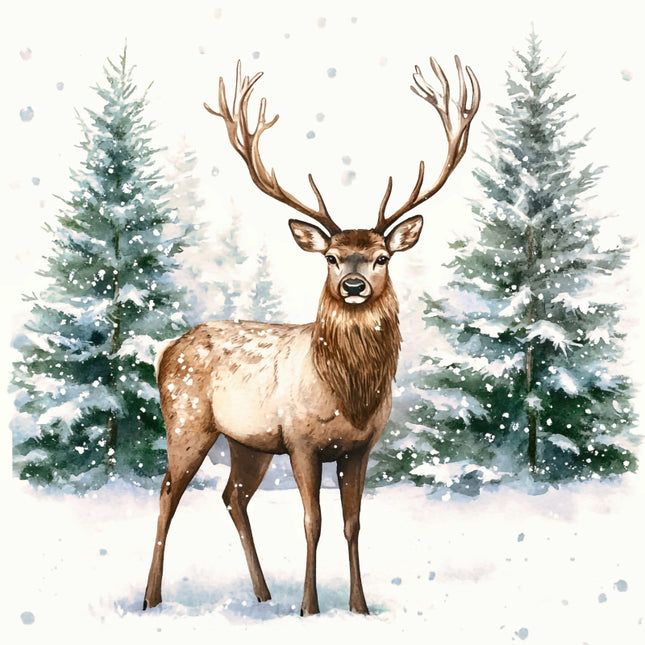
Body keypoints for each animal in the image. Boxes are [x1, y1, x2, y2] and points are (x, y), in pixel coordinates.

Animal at [143, 56, 479, 616]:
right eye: (331, 257)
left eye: (382, 257)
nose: (353, 284)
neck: (350, 395)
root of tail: (165, 349)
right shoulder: (301, 441)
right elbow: (312, 521)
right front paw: (310, 608)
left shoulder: (360, 448)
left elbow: (352, 524)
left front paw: (359, 607)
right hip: (187, 419)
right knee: (169, 489)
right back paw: (151, 598)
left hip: (248, 443)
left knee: (233, 496)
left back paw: (261, 594)